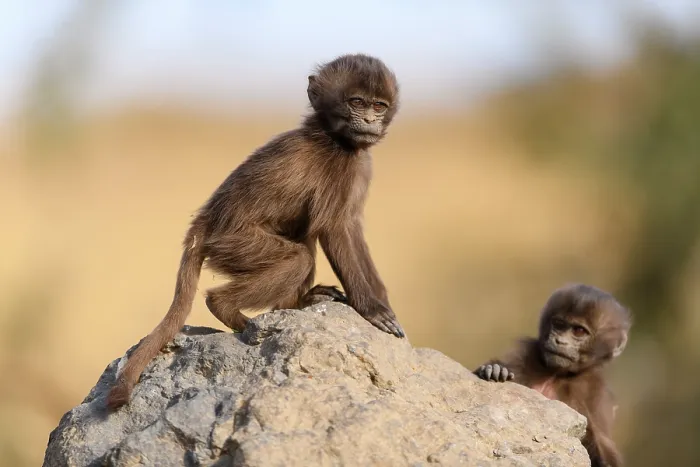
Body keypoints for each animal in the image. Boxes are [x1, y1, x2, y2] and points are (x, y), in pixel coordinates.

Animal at [106, 53, 405, 410]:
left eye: (379, 105)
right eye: (356, 102)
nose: (370, 120)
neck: (334, 138)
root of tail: (204, 221)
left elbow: (352, 227)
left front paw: (382, 300)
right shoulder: (336, 167)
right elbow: (333, 229)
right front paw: (371, 309)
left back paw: (296, 303)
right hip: (233, 245)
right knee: (298, 257)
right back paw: (225, 307)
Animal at [474, 284, 631, 467]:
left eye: (579, 331)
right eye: (558, 324)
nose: (559, 341)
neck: (556, 374)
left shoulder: (597, 392)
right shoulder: (527, 352)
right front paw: (496, 369)